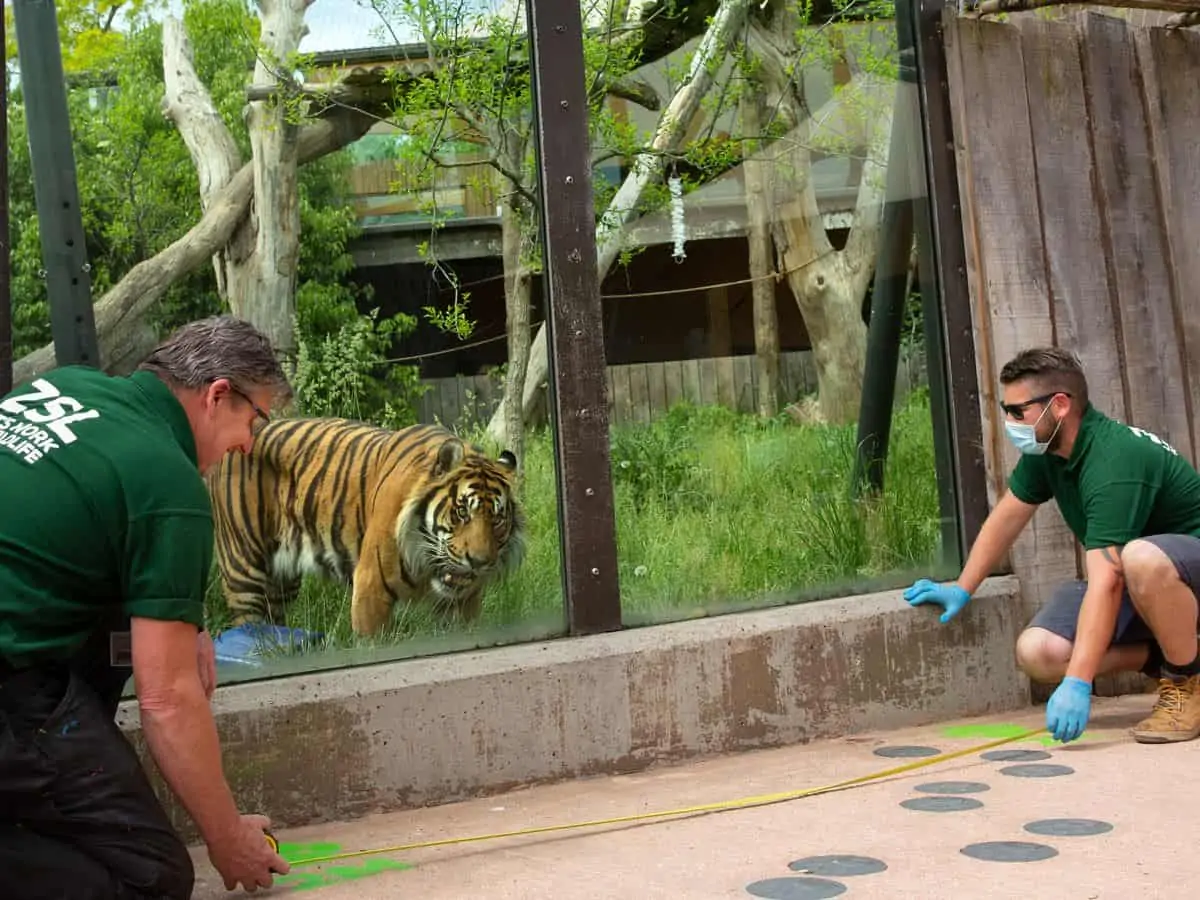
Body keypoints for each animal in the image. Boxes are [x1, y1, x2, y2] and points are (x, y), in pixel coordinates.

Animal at [204, 420, 528, 638]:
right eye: (462, 512)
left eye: (497, 519)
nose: (480, 562)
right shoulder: (372, 587)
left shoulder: (463, 603)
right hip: (244, 572)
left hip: (282, 580)